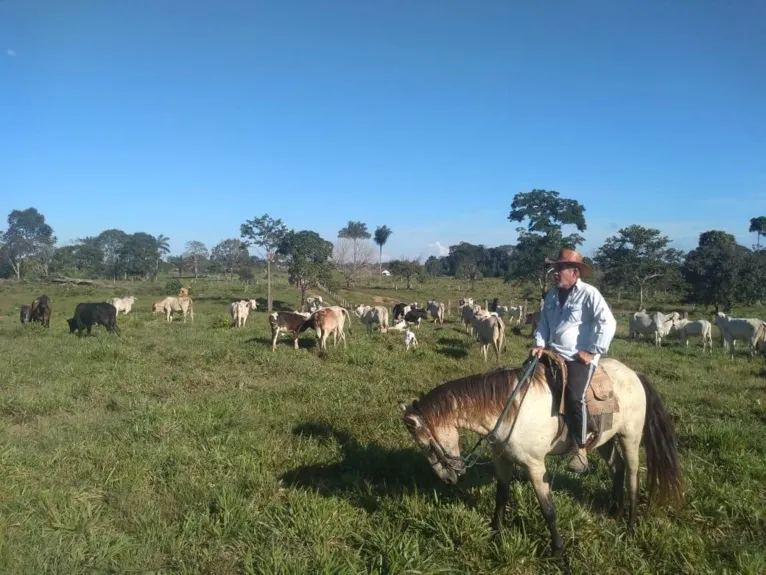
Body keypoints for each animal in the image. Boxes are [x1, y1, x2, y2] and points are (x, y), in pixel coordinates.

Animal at [402, 354, 684, 556]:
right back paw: (615, 510)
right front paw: (495, 530)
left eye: (427, 446)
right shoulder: (502, 460)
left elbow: (548, 509)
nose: (449, 479)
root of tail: (634, 374)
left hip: (630, 438)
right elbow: (501, 495)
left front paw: (557, 551)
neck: (509, 409)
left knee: (633, 475)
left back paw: (631, 524)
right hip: (604, 439)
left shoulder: (535, 466)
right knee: (618, 468)